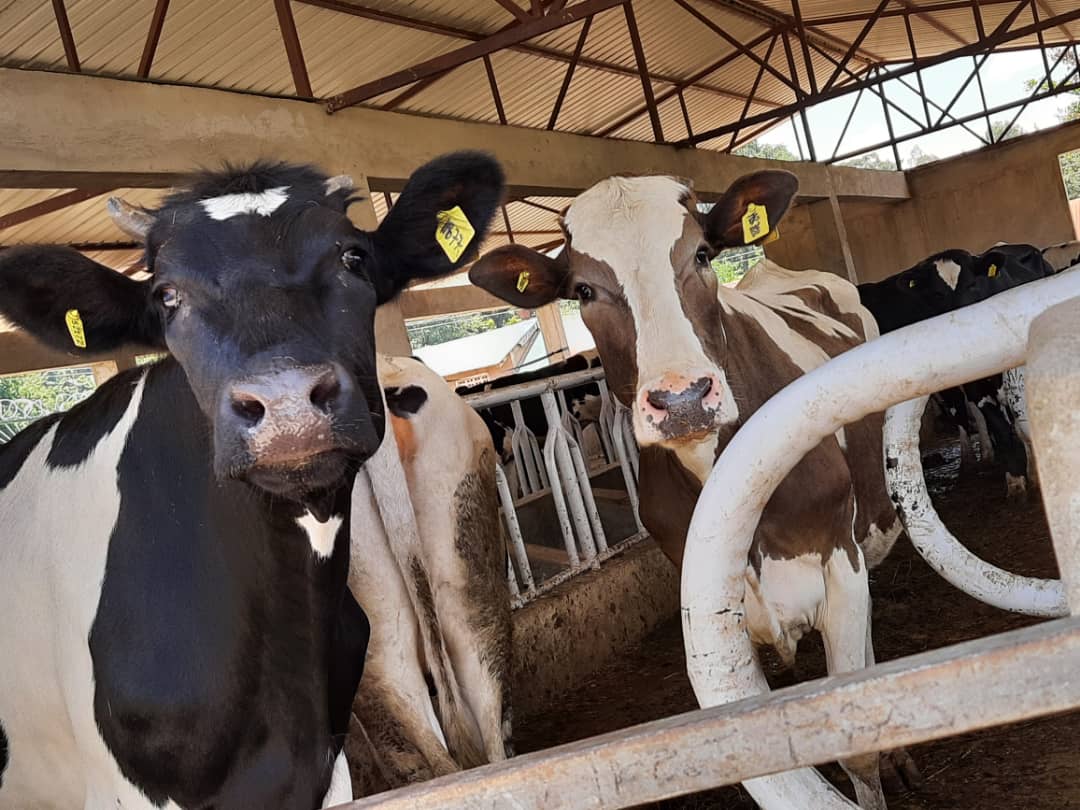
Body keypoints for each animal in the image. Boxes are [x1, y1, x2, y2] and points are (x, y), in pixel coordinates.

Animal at [470, 170, 919, 808]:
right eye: (583, 290)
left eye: (702, 255)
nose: (681, 399)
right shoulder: (713, 608)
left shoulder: (838, 560)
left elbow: (856, 742)